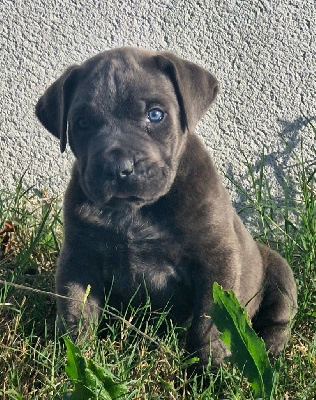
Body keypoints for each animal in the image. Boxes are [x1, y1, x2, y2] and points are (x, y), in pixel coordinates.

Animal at [35, 46, 298, 366]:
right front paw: (74, 355)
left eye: (155, 114)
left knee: (278, 321)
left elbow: (210, 318)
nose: (117, 167)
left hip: (281, 273)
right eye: (82, 123)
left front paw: (210, 365)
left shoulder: (216, 259)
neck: (135, 212)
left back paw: (270, 352)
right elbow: (75, 309)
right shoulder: (79, 259)